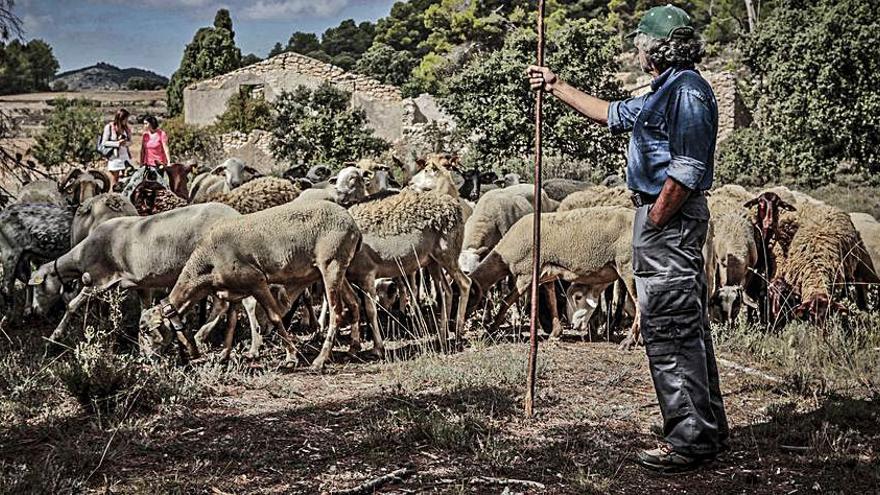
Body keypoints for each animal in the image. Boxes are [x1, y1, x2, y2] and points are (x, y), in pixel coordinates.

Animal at [150, 200, 362, 370]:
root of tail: (354, 226)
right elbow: (231, 323)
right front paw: (224, 356)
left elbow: (274, 317)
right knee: (354, 302)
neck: (207, 264)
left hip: (331, 264)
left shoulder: (257, 281)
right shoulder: (234, 291)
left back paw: (320, 360)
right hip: (339, 267)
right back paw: (354, 348)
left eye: (150, 330)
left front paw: (291, 357)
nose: (151, 358)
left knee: (337, 313)